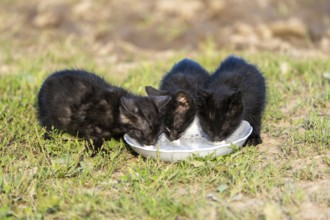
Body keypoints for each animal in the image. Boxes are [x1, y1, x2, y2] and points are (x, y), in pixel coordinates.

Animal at [37, 69, 171, 152]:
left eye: (158, 132)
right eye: (144, 133)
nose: (152, 142)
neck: (115, 110)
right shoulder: (88, 124)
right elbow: (95, 139)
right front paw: (99, 151)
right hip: (51, 120)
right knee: (49, 129)